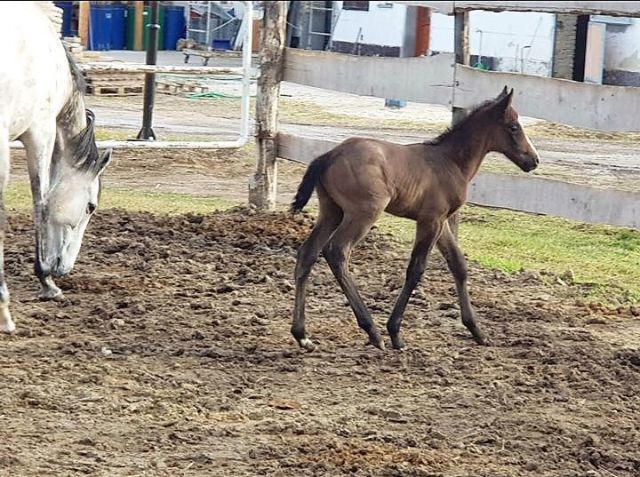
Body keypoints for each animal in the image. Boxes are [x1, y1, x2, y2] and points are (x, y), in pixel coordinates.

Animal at [292, 88, 540, 350]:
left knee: (307, 254)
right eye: (513, 127)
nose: (534, 160)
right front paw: (395, 332)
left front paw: (477, 331)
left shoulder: (441, 222)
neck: (450, 162)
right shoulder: (430, 220)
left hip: (331, 211)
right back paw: (372, 331)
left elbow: (458, 265)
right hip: (363, 213)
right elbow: (416, 270)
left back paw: (302, 335)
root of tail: (330, 154)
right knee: (337, 251)